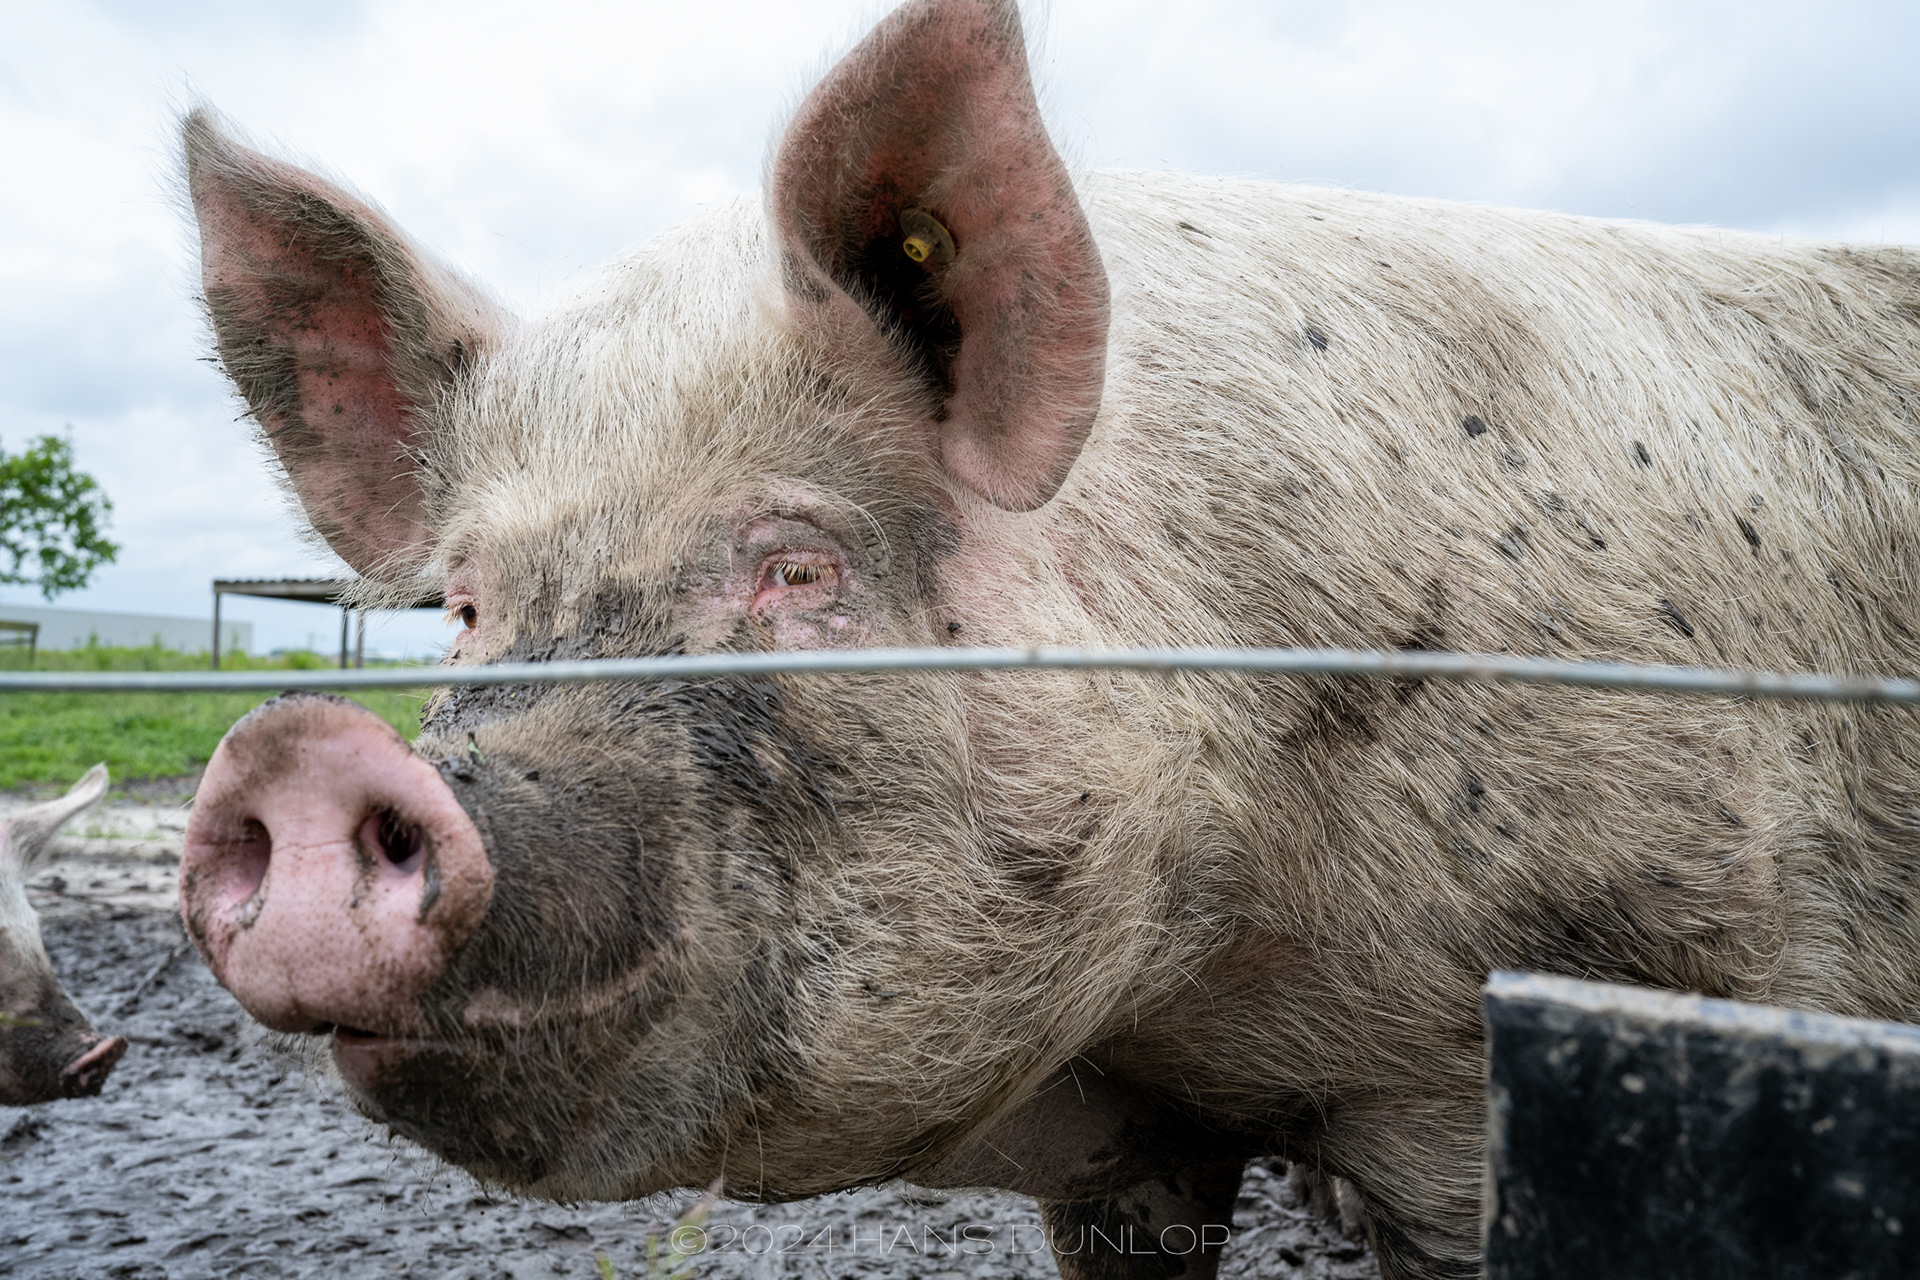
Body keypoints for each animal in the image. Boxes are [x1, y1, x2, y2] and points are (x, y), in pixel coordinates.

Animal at [175, 0, 1920, 1276]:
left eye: (796, 563)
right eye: (470, 605)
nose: (290, 750)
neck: (1213, 988)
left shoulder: (1518, 1060)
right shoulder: (1120, 1144)